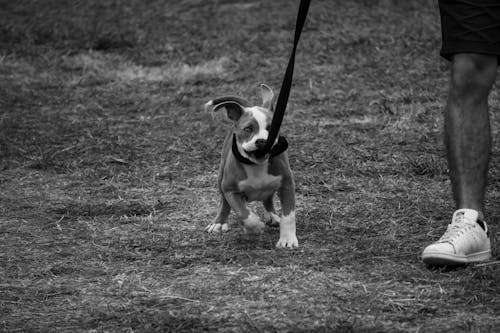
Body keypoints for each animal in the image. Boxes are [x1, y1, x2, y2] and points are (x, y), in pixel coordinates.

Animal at [203, 84, 296, 248]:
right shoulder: (230, 189)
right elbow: (243, 213)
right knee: (224, 203)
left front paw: (287, 239)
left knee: (268, 198)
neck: (256, 165)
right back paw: (218, 223)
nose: (262, 141)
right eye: (248, 129)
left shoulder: (287, 184)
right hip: (221, 178)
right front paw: (255, 226)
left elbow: (289, 215)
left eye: (272, 128)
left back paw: (272, 216)